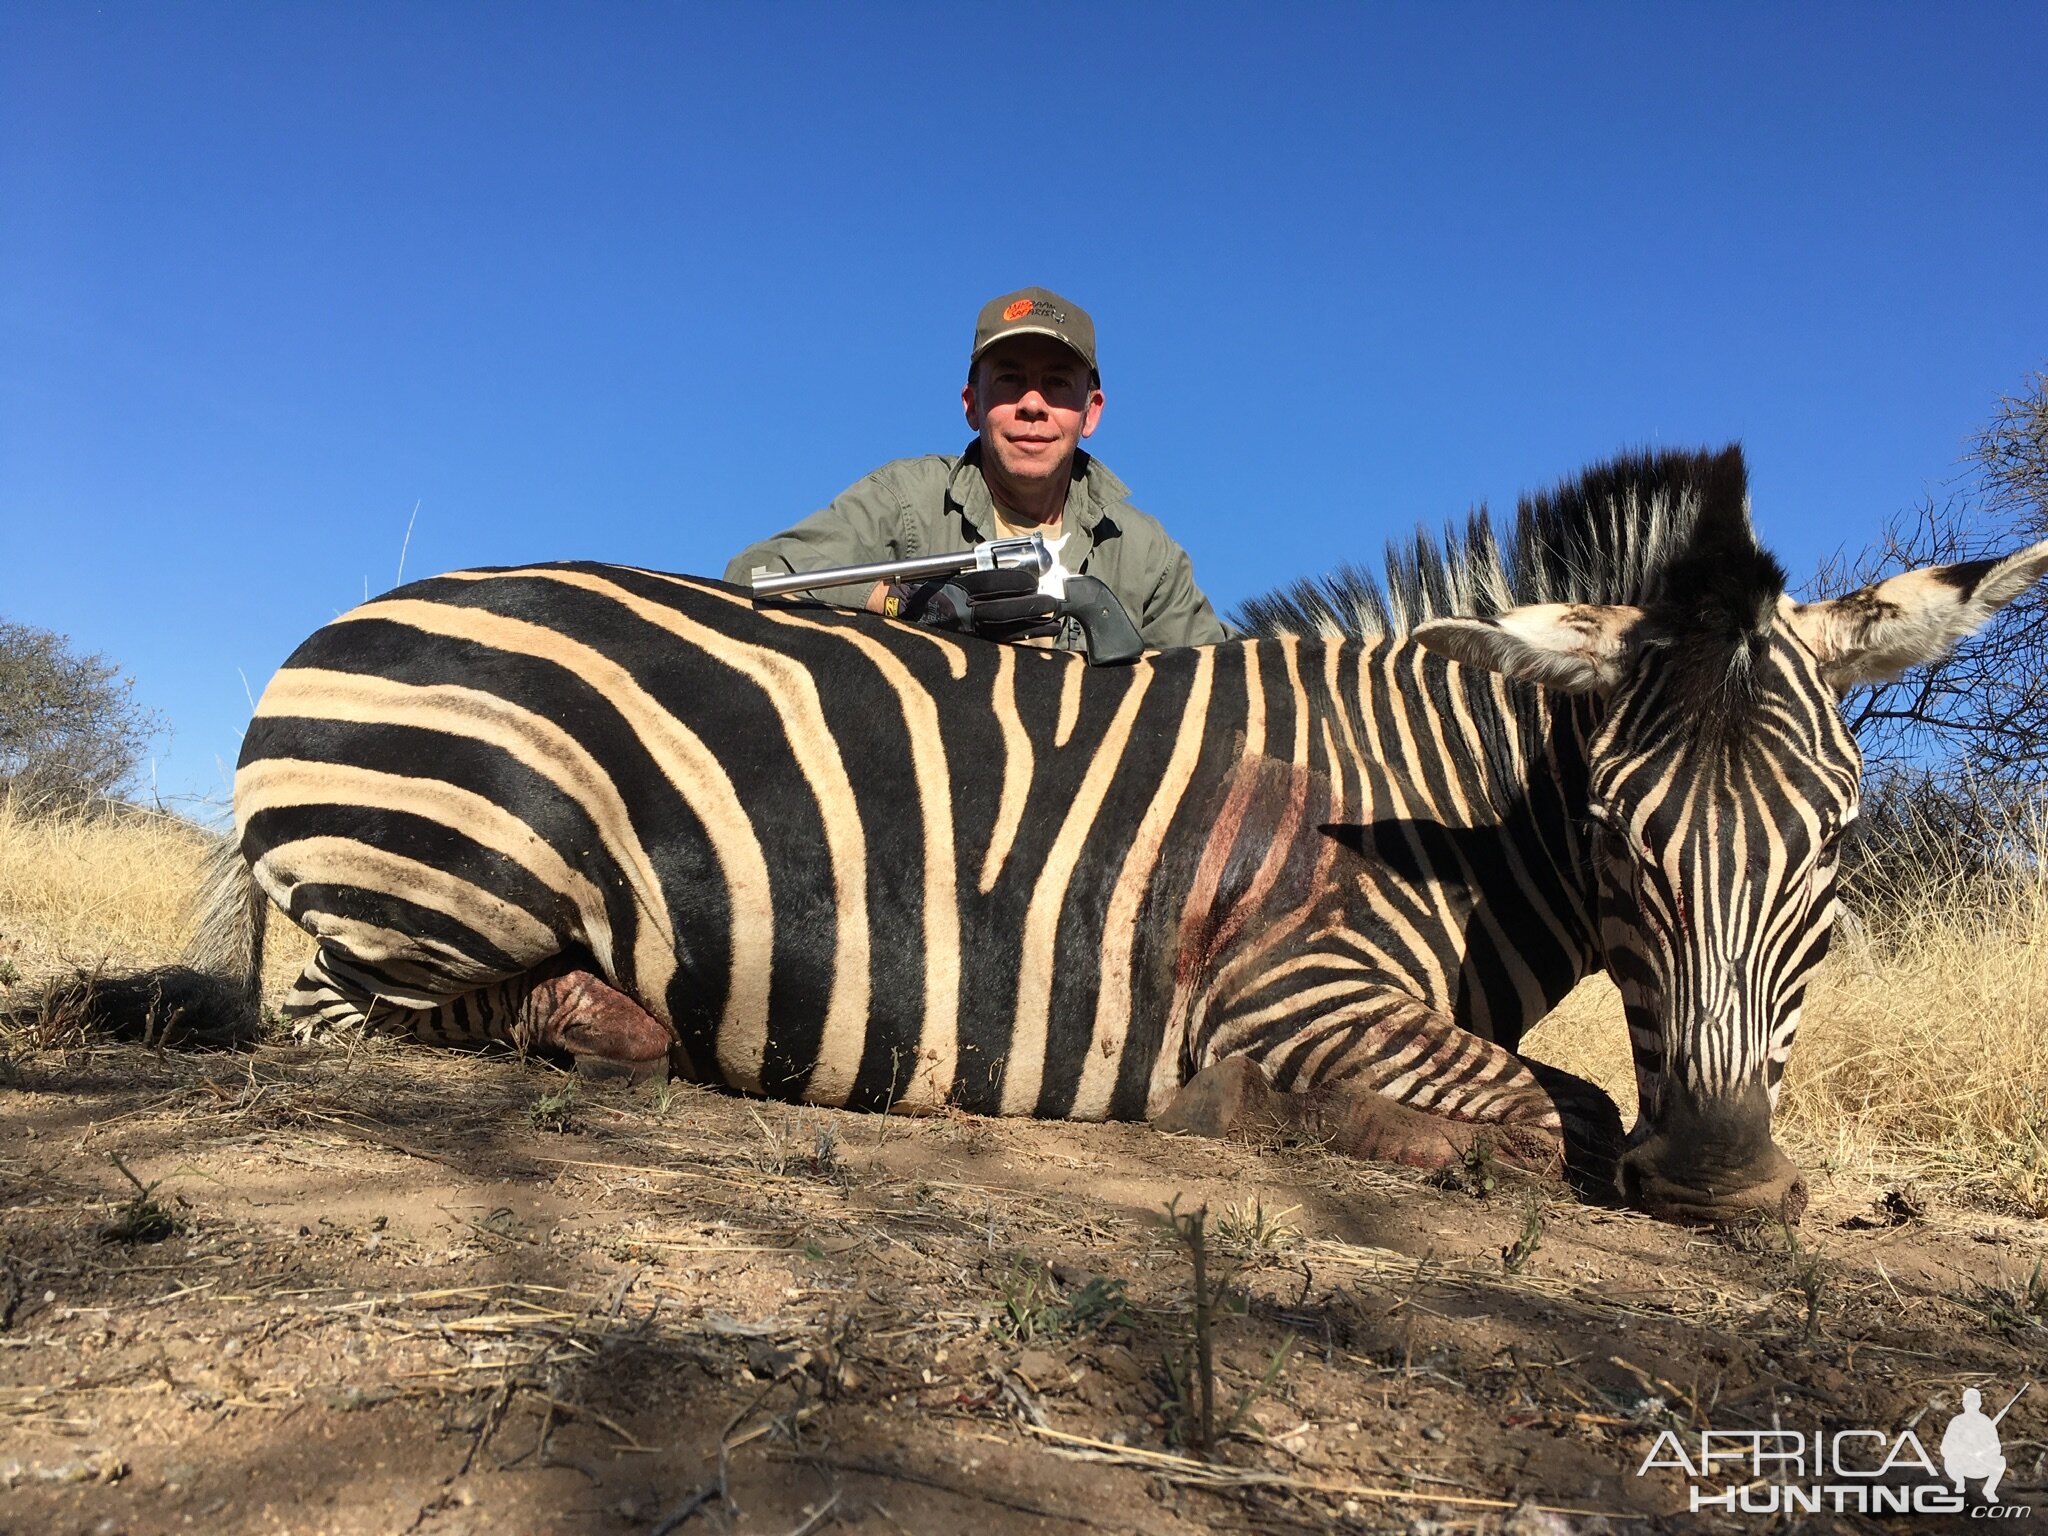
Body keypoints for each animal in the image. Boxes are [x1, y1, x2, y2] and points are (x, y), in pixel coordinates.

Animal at [92, 444, 2048, 1228]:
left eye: (1837, 848)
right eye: (1624, 842)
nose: (1720, 1183)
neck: (1435, 809)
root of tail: (339, 621)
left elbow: (1563, 1098)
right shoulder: (1300, 991)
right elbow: (1540, 1110)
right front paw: (1263, 1127)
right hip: (446, 878)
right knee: (341, 1017)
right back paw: (602, 1026)